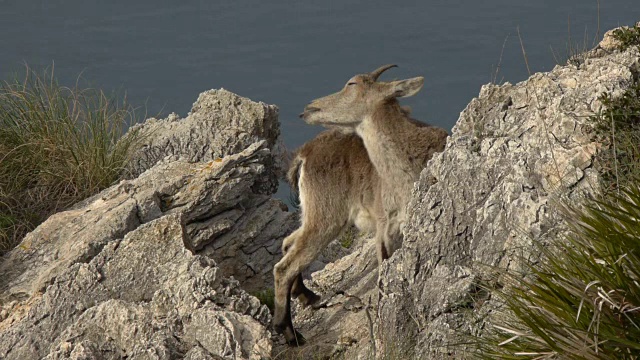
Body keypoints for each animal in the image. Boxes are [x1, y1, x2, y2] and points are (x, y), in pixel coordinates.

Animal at [270, 129, 380, 346]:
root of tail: (305, 155)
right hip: (327, 216)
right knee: (285, 267)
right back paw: (290, 333)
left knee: (288, 243)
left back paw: (306, 295)